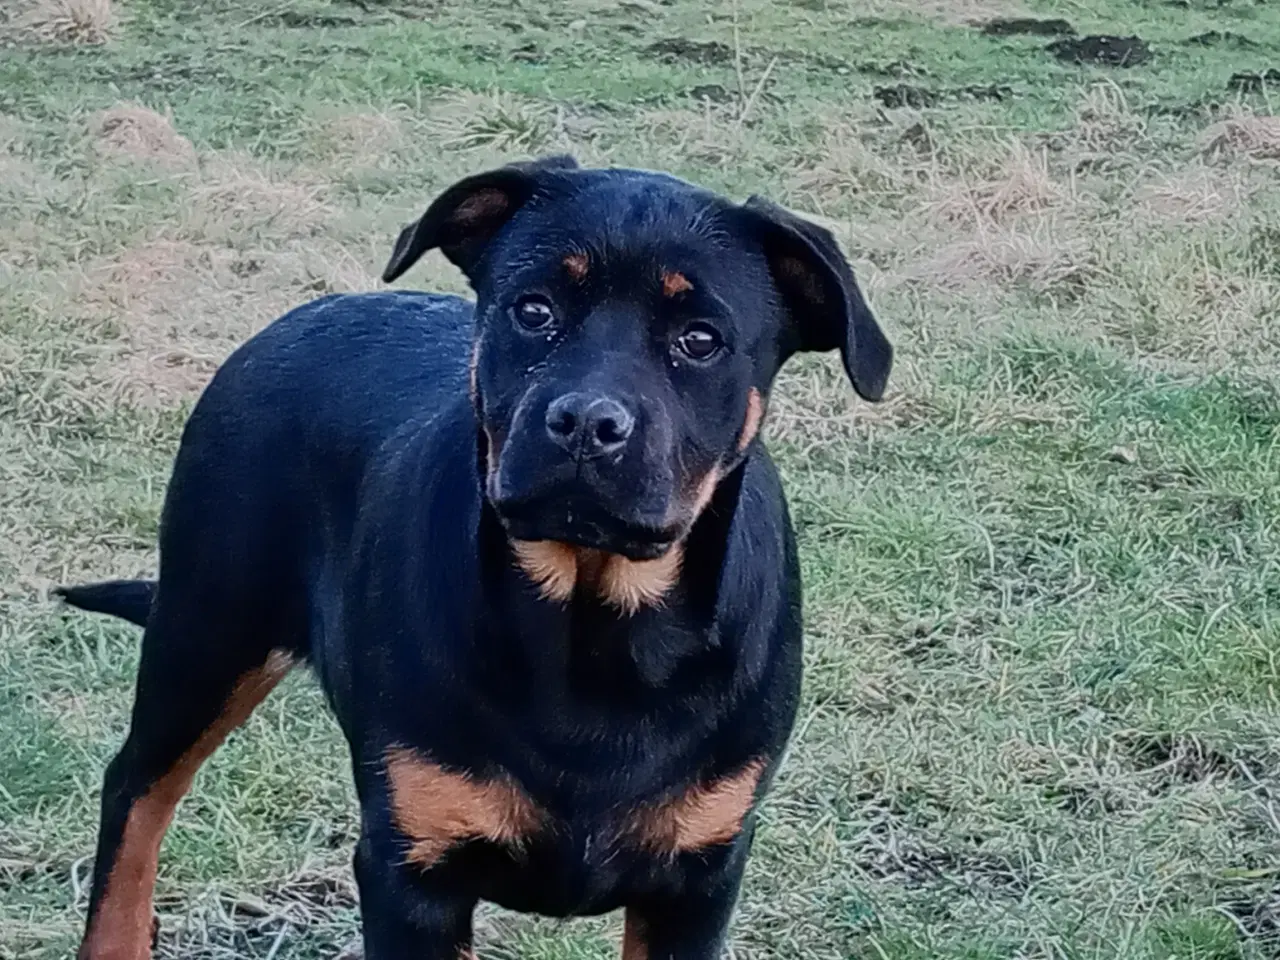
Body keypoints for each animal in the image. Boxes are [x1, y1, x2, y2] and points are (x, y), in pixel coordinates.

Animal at [60, 154, 896, 957]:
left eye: (700, 340)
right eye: (533, 310)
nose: (586, 422)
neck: (592, 623)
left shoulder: (698, 877)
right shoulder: (413, 870)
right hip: (209, 625)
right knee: (137, 791)